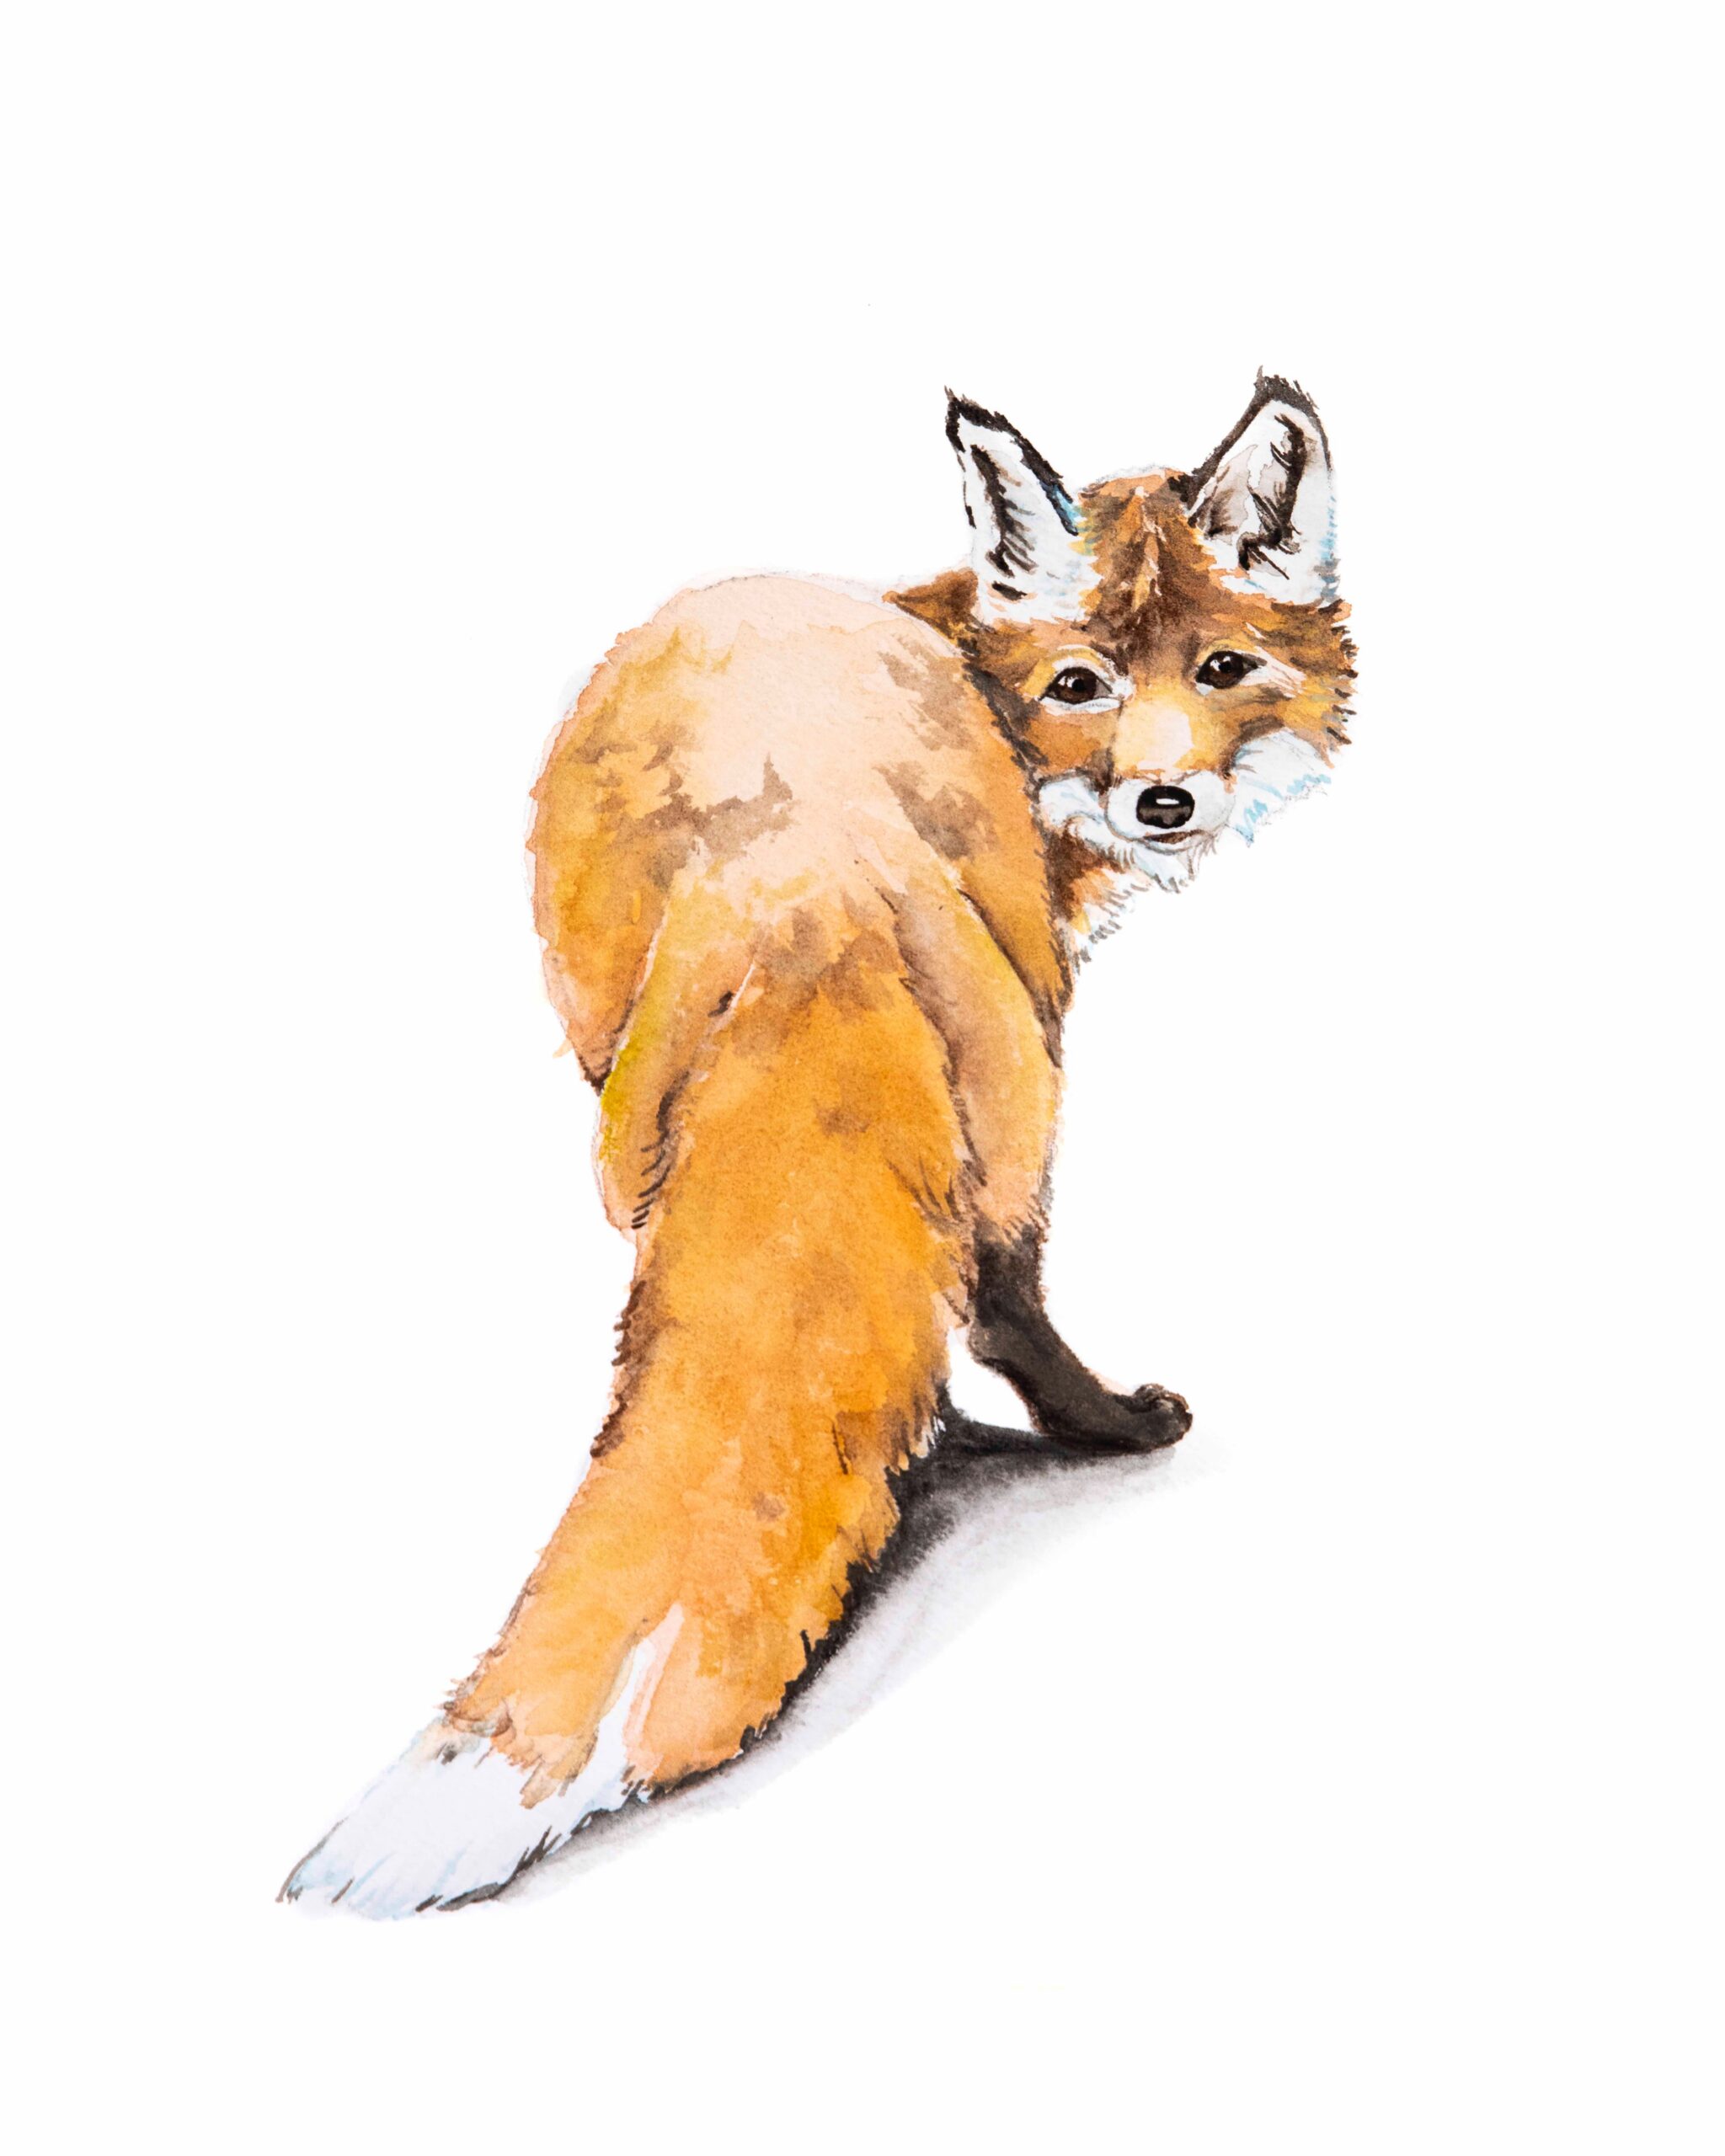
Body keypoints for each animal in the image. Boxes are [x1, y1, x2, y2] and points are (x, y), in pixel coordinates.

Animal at [283, 374, 1353, 1915]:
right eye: (1079, 685)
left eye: (1221, 669)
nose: (1162, 801)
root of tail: (801, 876)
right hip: (1030, 1085)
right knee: (994, 1293)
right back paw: (1086, 1429)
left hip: (613, 1100)